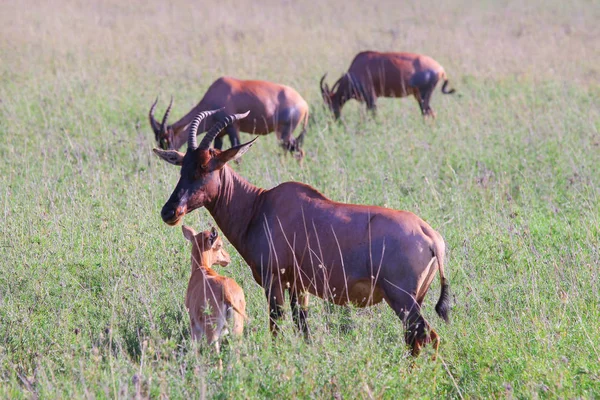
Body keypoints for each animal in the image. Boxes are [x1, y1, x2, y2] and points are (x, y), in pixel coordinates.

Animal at [149, 76, 310, 159]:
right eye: (157, 139)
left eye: (166, 139)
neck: (218, 93)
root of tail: (304, 104)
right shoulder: (220, 135)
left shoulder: (233, 129)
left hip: (284, 134)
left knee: (298, 151)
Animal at [180, 225, 246, 366]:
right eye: (219, 244)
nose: (228, 258)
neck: (202, 269)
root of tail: (226, 292)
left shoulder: (195, 326)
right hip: (236, 331)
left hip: (212, 333)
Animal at [318, 50, 454, 119]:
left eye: (330, 102)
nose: (335, 119)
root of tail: (441, 69)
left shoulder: (371, 98)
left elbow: (373, 115)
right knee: (430, 113)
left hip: (423, 96)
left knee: (427, 113)